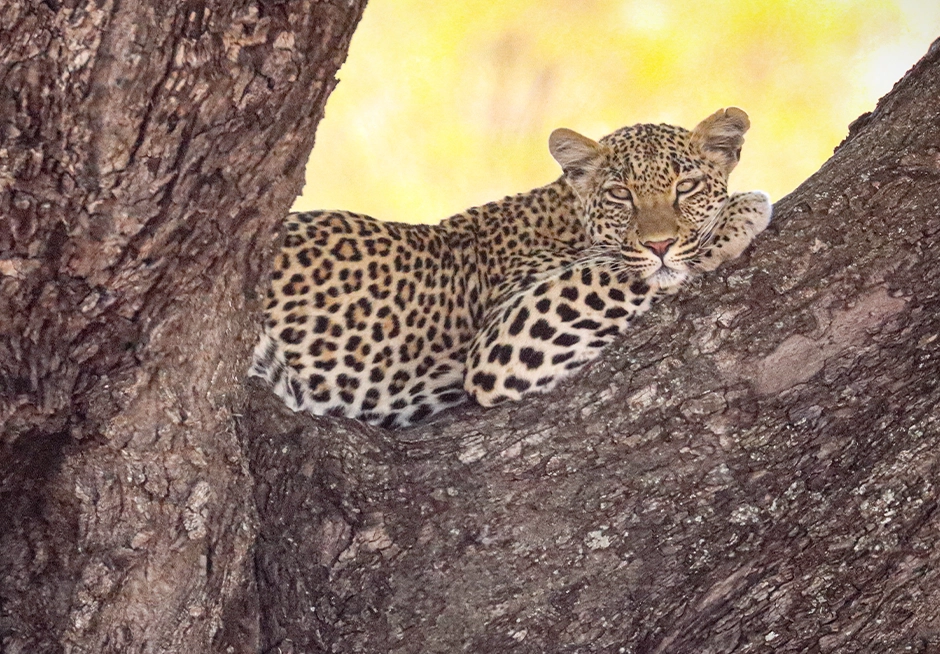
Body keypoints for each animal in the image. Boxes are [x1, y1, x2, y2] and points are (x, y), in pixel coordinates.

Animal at [251, 107, 772, 428]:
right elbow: (612, 269)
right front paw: (738, 214)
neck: (566, 217)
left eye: (686, 186)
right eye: (620, 194)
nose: (660, 242)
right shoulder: (501, 343)